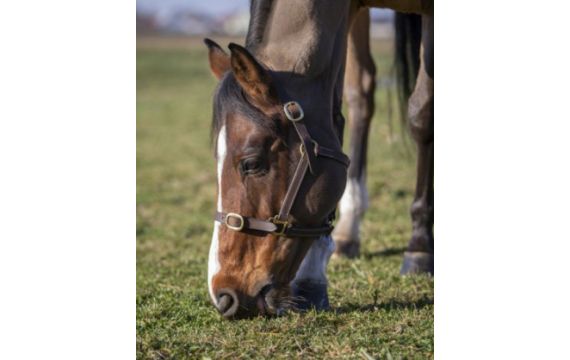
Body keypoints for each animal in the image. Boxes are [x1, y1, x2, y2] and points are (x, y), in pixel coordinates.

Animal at [204, 0, 430, 320]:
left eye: (251, 163)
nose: (222, 295)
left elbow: (422, 114)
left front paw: (420, 247)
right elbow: (336, 117)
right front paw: (312, 280)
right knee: (361, 93)